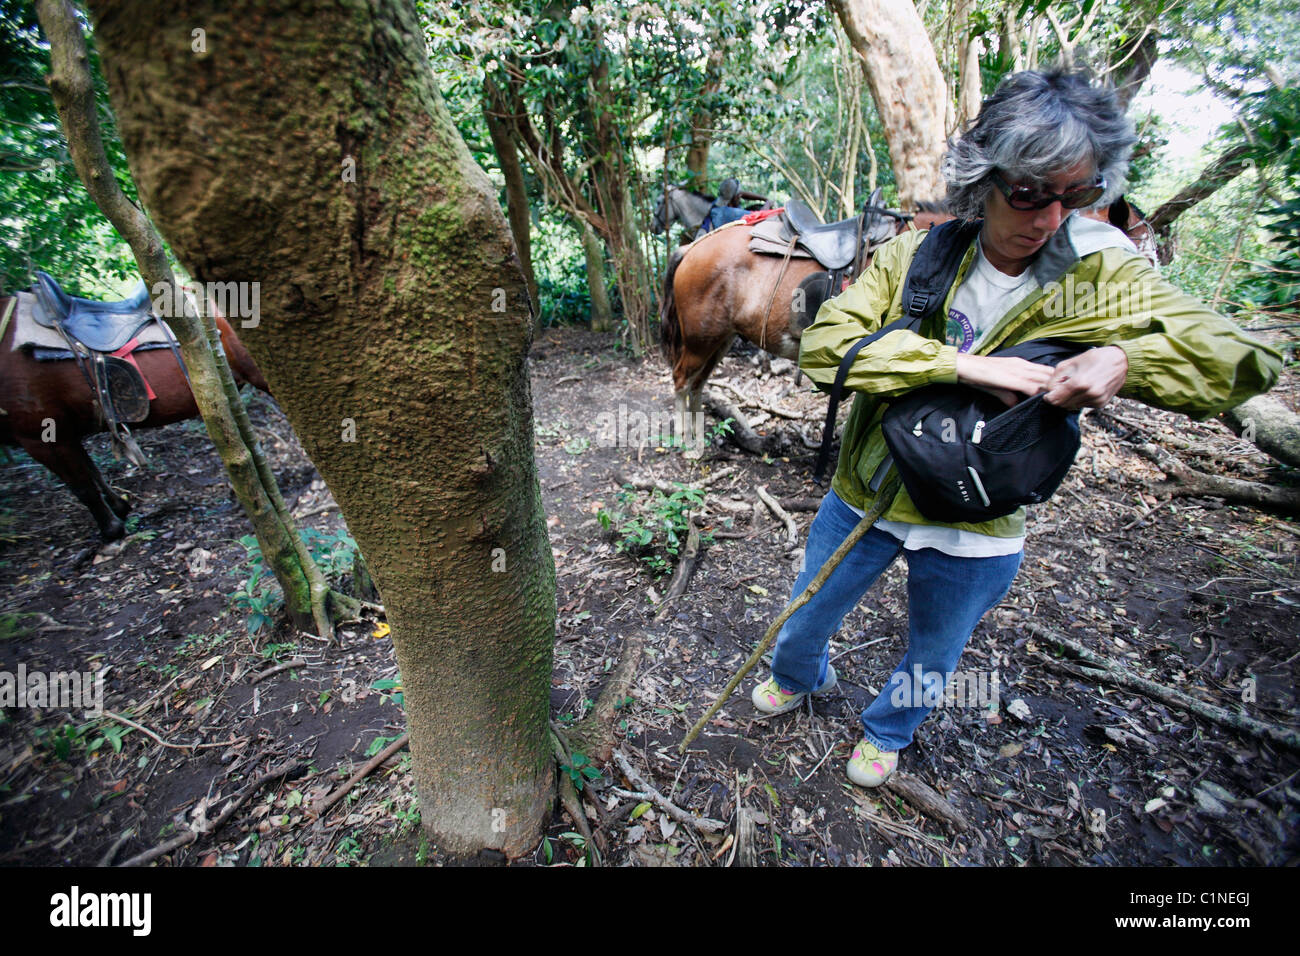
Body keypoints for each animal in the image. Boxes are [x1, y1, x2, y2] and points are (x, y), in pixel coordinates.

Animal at [0, 293, 269, 538]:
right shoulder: (67, 433)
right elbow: (92, 471)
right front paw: (119, 506)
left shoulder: (42, 437)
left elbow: (83, 488)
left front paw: (111, 530)